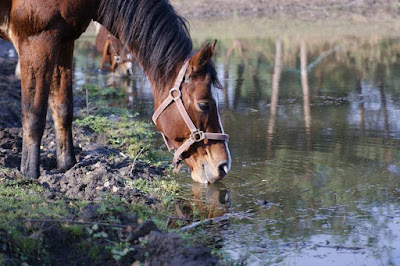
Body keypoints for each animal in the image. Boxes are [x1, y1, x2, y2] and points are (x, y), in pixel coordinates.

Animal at [0, 0, 231, 183]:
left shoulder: (63, 41)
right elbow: (34, 114)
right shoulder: (37, 40)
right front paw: (29, 174)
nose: (223, 166)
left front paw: (68, 166)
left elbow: (63, 108)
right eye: (204, 104)